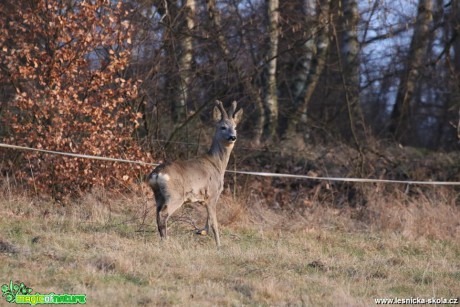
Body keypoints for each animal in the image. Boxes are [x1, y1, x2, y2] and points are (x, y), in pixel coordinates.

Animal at [147, 101, 243, 248]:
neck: (217, 164)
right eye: (223, 127)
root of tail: (157, 174)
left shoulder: (206, 198)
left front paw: (201, 232)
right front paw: (219, 246)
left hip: (158, 195)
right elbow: (214, 223)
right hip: (175, 195)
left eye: (235, 127)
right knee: (163, 214)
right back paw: (166, 241)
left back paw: (163, 239)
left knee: (157, 214)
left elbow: (208, 220)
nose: (233, 137)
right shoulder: (213, 194)